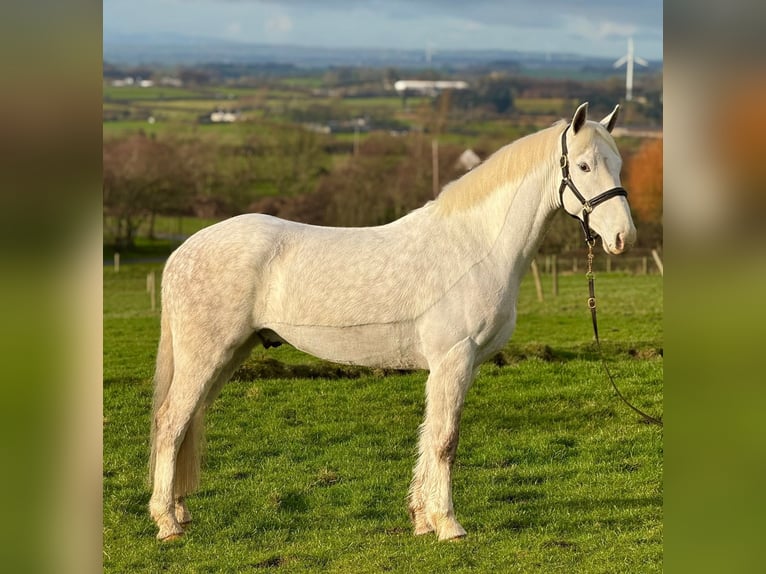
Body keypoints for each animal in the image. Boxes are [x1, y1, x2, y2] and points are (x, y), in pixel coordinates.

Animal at [149, 102, 637, 542]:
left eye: (618, 164)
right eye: (584, 165)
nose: (622, 237)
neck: (474, 246)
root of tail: (183, 252)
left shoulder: (455, 366)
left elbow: (429, 436)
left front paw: (422, 520)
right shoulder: (453, 361)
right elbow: (445, 440)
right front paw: (448, 525)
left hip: (229, 354)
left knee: (188, 421)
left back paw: (180, 511)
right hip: (206, 355)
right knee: (171, 422)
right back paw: (167, 523)